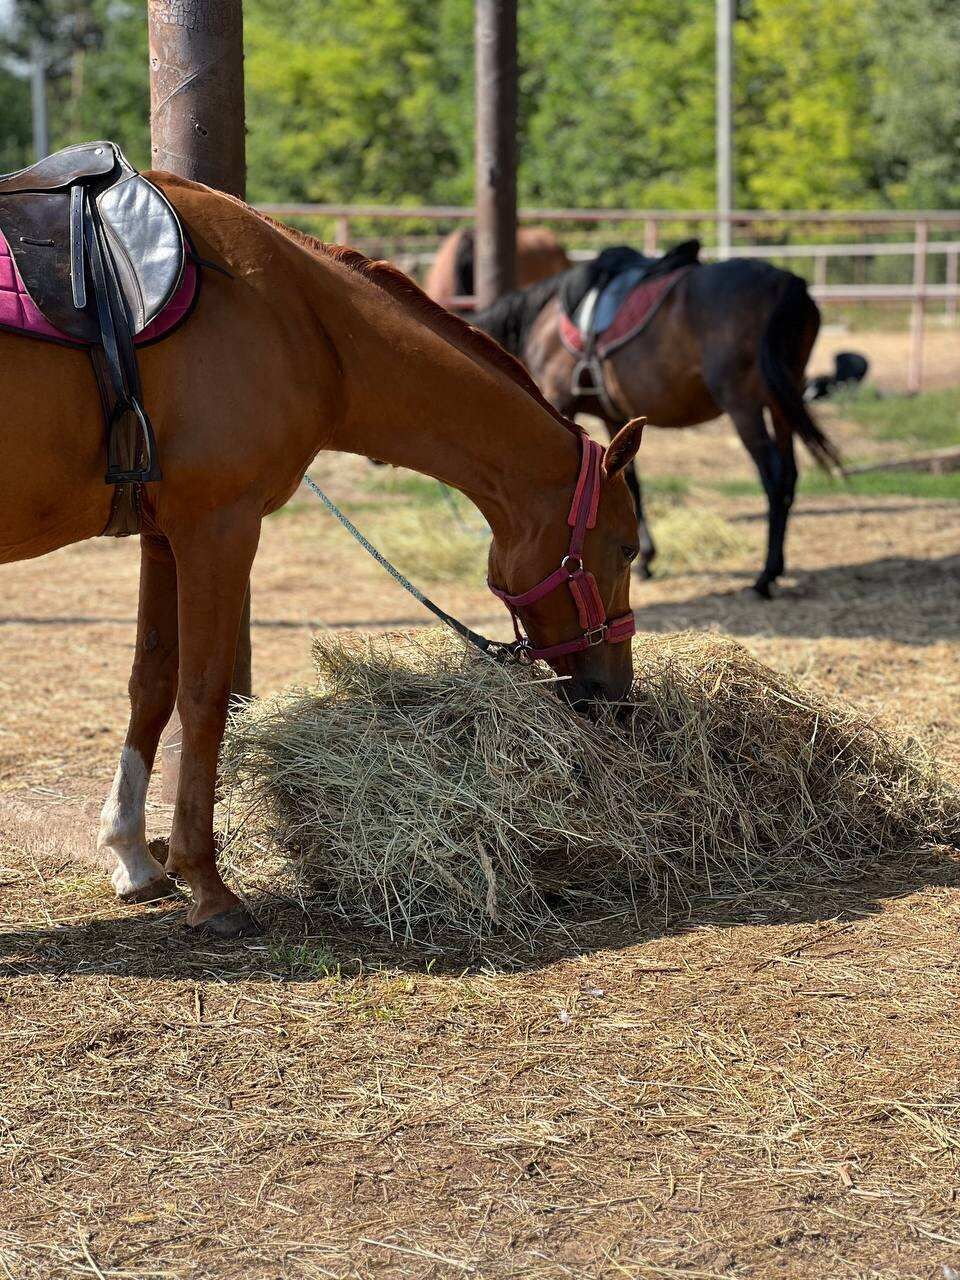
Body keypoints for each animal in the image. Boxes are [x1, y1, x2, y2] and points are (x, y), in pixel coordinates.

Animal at [476, 262, 839, 601]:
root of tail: (784, 281)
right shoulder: (616, 417)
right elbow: (628, 481)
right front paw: (647, 557)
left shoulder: (562, 402)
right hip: (781, 400)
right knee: (790, 474)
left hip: (744, 405)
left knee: (774, 477)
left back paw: (764, 576)